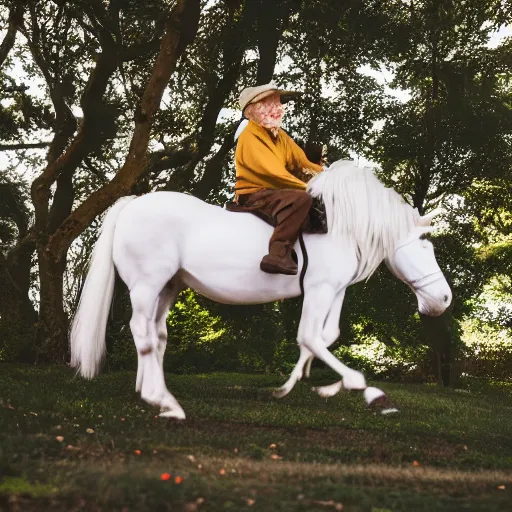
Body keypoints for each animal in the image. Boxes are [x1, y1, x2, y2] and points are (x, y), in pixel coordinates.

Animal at [71, 161, 452, 420]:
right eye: (425, 245)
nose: (444, 299)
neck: (340, 226)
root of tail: (131, 204)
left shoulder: (335, 290)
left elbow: (326, 336)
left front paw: (307, 384)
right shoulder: (319, 289)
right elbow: (310, 337)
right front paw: (363, 388)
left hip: (167, 287)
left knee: (156, 334)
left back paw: (149, 389)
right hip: (146, 286)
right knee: (142, 331)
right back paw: (161, 399)